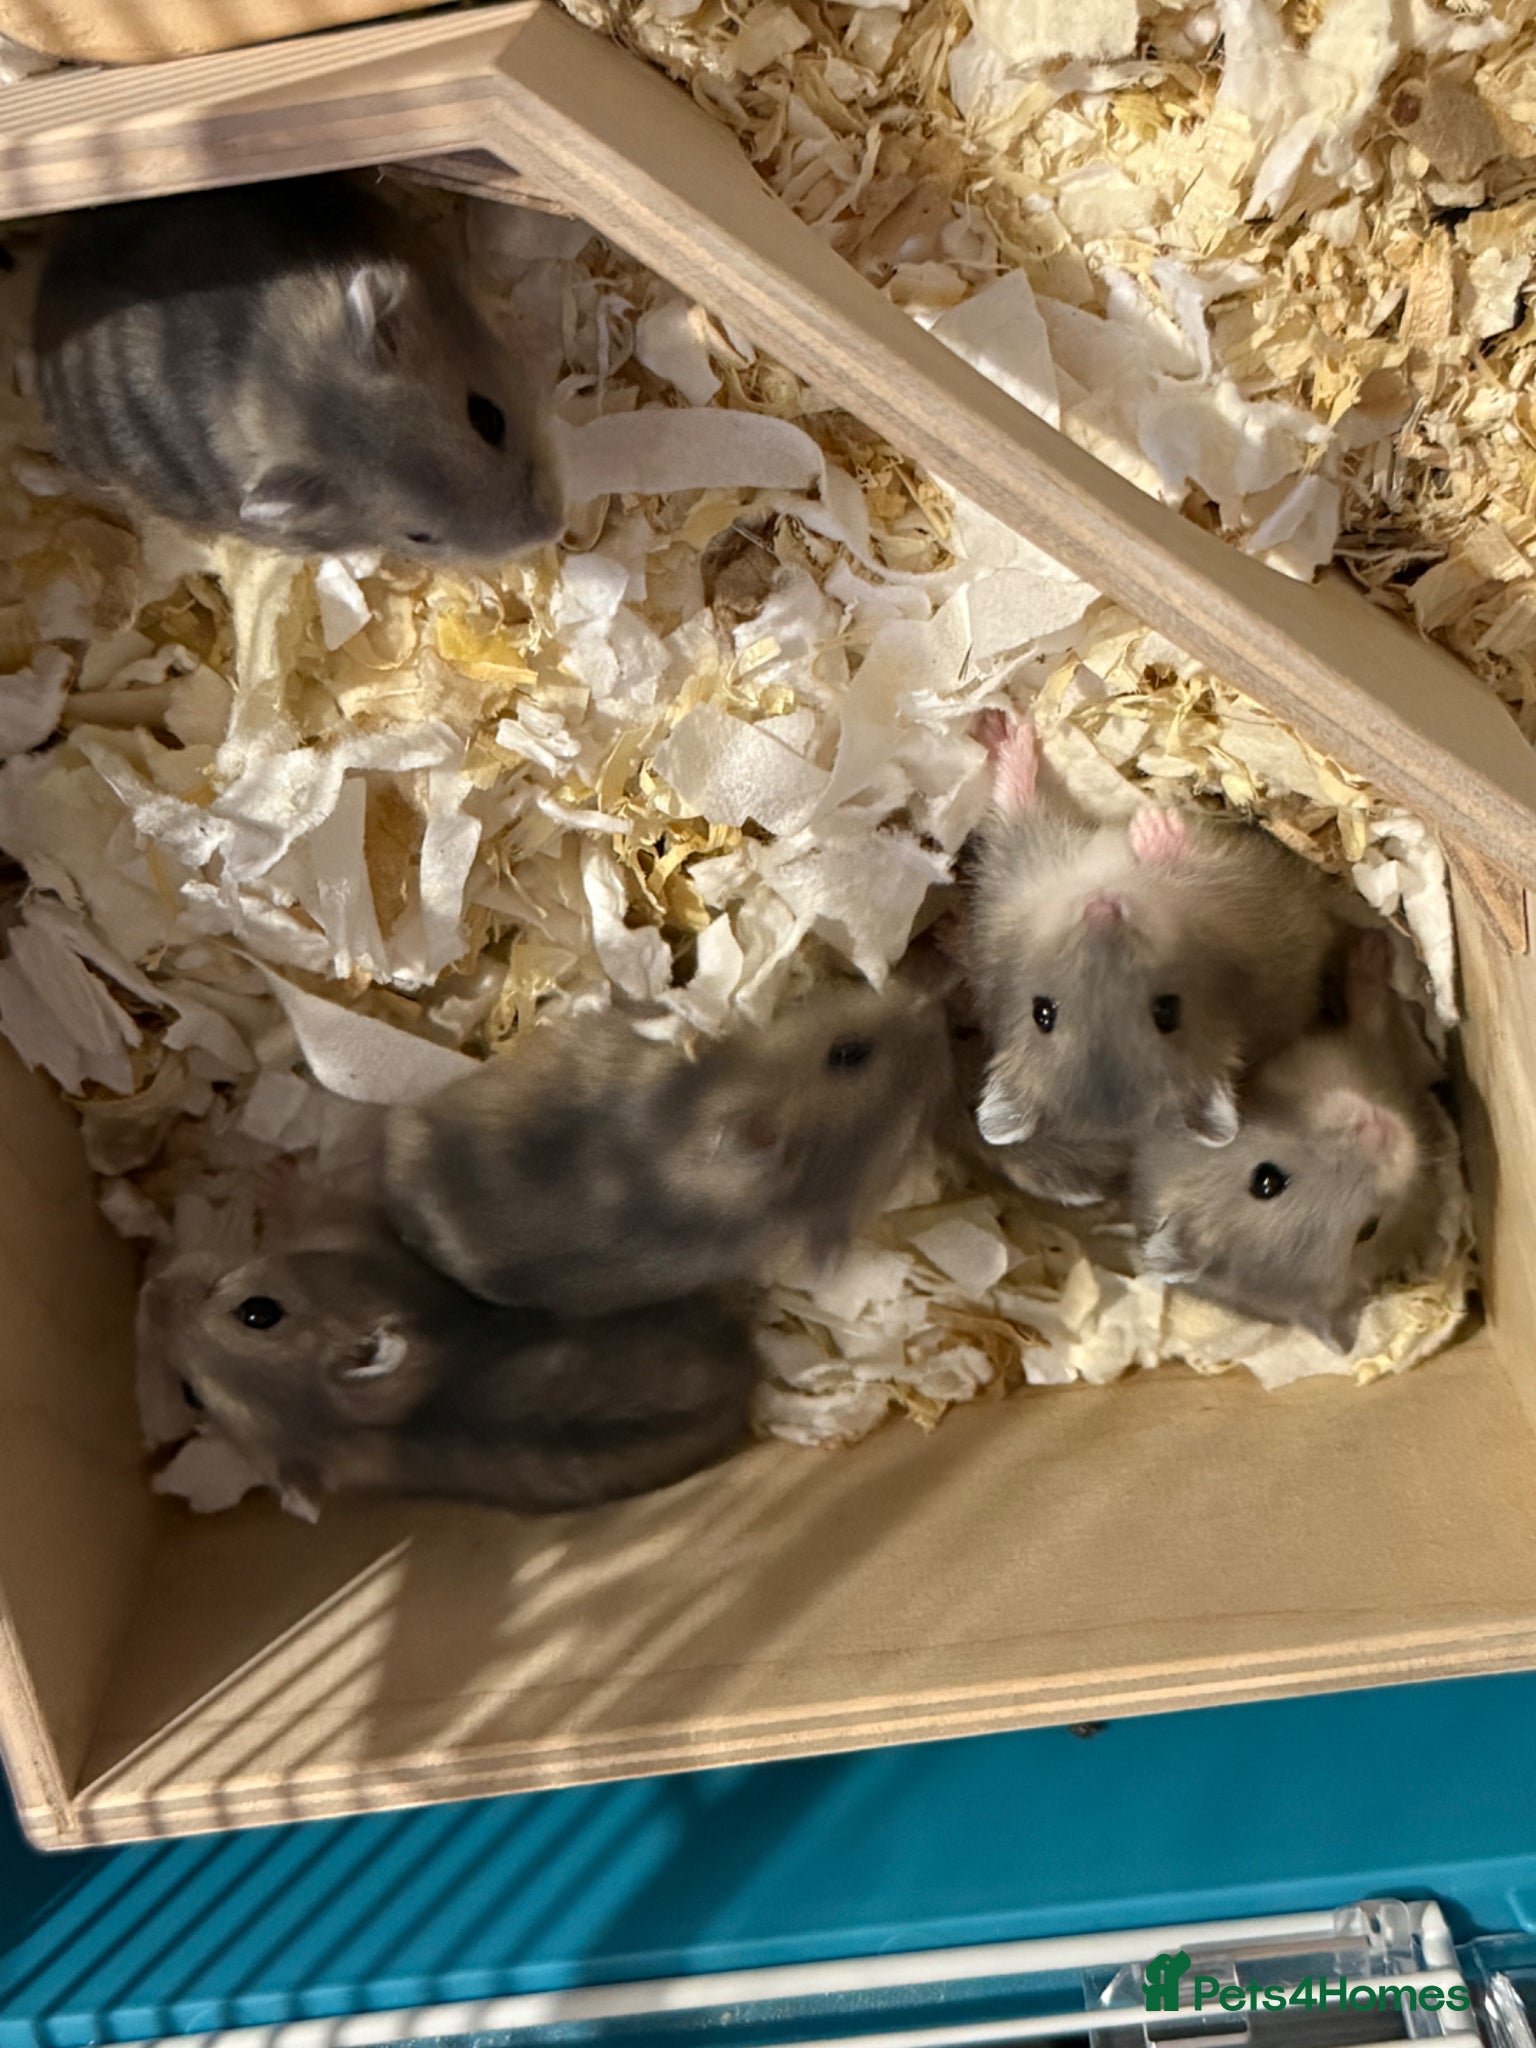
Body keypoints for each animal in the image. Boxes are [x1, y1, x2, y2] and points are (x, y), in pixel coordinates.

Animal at [963, 715, 1341, 1205]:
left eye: (1168, 1011)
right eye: (1042, 1013)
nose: (1103, 907)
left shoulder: (1242, 900)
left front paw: (1151, 827)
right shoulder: (1015, 875)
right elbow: (1018, 804)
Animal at [1132, 928, 1455, 1351]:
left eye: (1266, 1181)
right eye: (1367, 1230)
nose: (1378, 1133)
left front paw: (1368, 943)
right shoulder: (1368, 1048)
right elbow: (1370, 1016)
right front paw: (1371, 947)